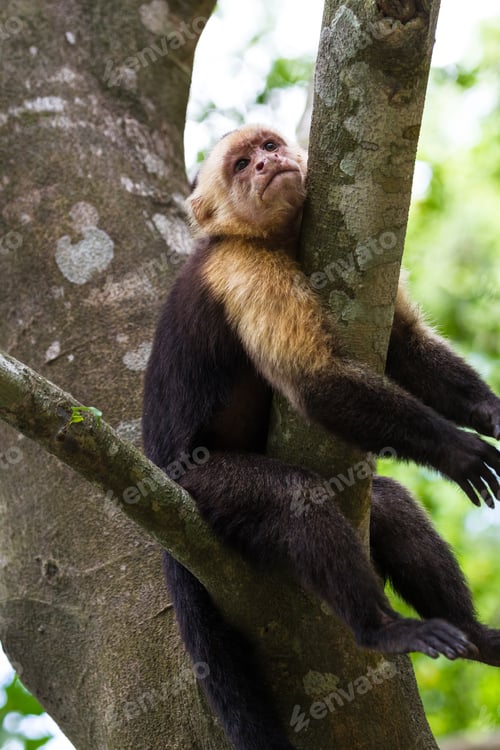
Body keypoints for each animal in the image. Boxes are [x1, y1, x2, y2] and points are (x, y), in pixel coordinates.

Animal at [142, 124, 500, 750]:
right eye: (241, 166)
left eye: (268, 146)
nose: (269, 164)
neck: (270, 239)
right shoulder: (244, 267)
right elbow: (318, 383)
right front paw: (459, 451)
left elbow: (406, 350)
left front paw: (495, 415)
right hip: (195, 487)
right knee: (295, 497)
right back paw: (380, 630)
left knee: (388, 504)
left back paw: (477, 637)